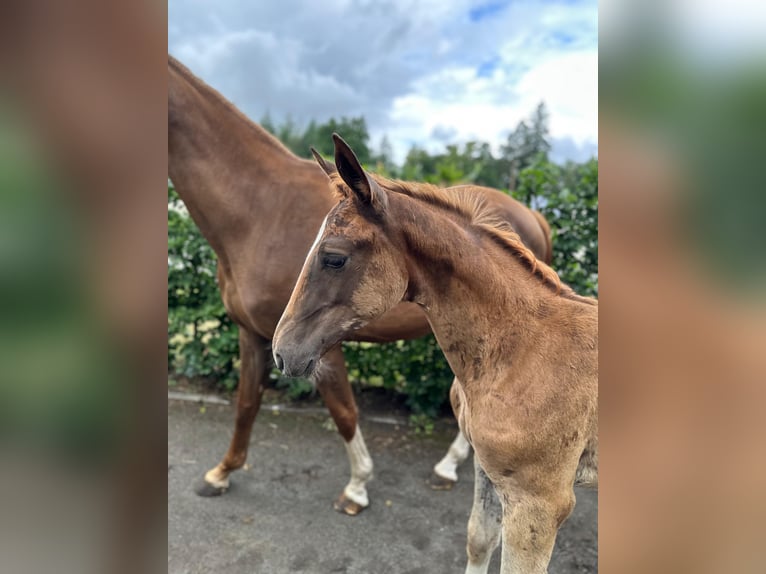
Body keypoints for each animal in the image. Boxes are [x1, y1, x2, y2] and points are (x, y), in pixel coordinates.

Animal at [168, 54, 555, 515]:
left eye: (334, 259)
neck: (261, 209)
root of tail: (533, 216)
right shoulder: (255, 334)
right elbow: (246, 404)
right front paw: (222, 473)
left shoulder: (320, 340)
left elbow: (344, 411)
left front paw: (357, 487)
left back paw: (448, 466)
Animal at [272, 135, 598, 573]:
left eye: (334, 257)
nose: (281, 350)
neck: (521, 349)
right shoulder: (487, 469)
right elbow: (479, 539)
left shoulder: (540, 503)